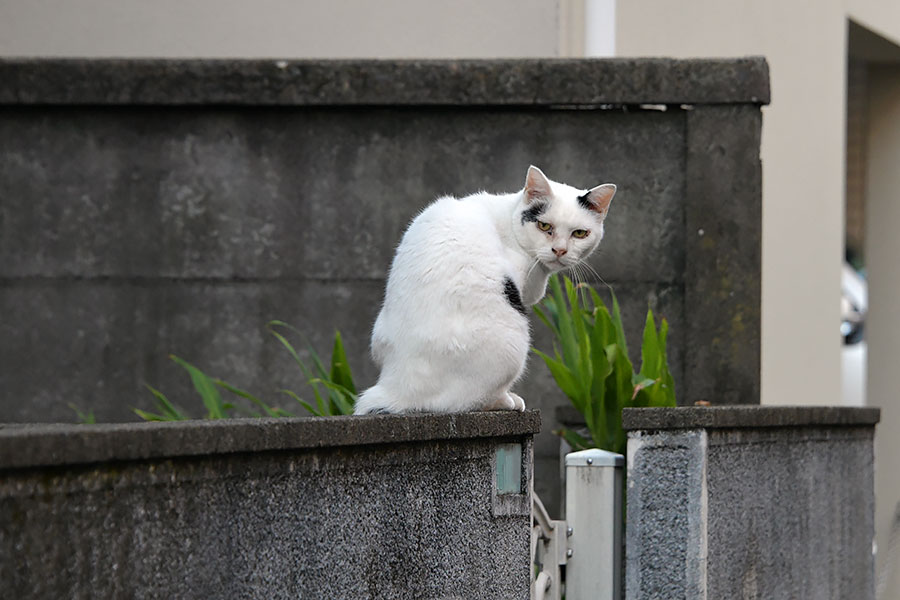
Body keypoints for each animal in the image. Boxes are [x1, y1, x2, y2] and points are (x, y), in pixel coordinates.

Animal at [356, 166, 616, 414]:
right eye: (545, 226)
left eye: (580, 233)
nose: (559, 250)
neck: (509, 218)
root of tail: (398, 386)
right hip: (512, 344)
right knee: (463, 402)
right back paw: (508, 400)